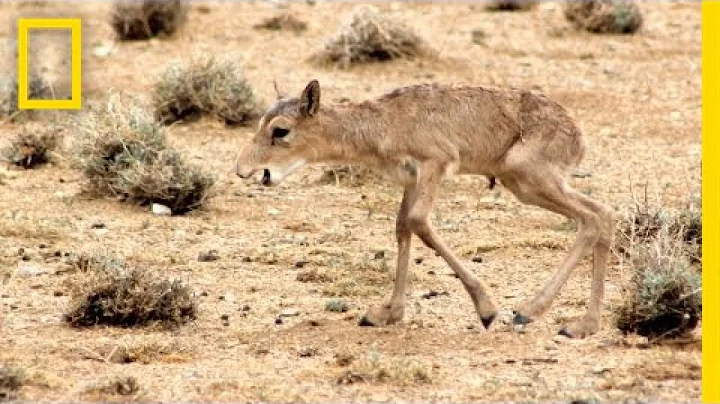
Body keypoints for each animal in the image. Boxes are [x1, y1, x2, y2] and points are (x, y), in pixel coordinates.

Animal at [235, 79, 612, 338]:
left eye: (280, 131)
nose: (242, 170)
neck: (385, 122)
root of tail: (577, 134)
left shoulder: (436, 164)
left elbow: (418, 222)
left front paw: (486, 309)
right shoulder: (411, 180)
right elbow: (403, 226)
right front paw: (387, 313)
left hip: (529, 179)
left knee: (594, 216)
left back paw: (536, 312)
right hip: (524, 184)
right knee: (603, 214)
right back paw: (584, 324)